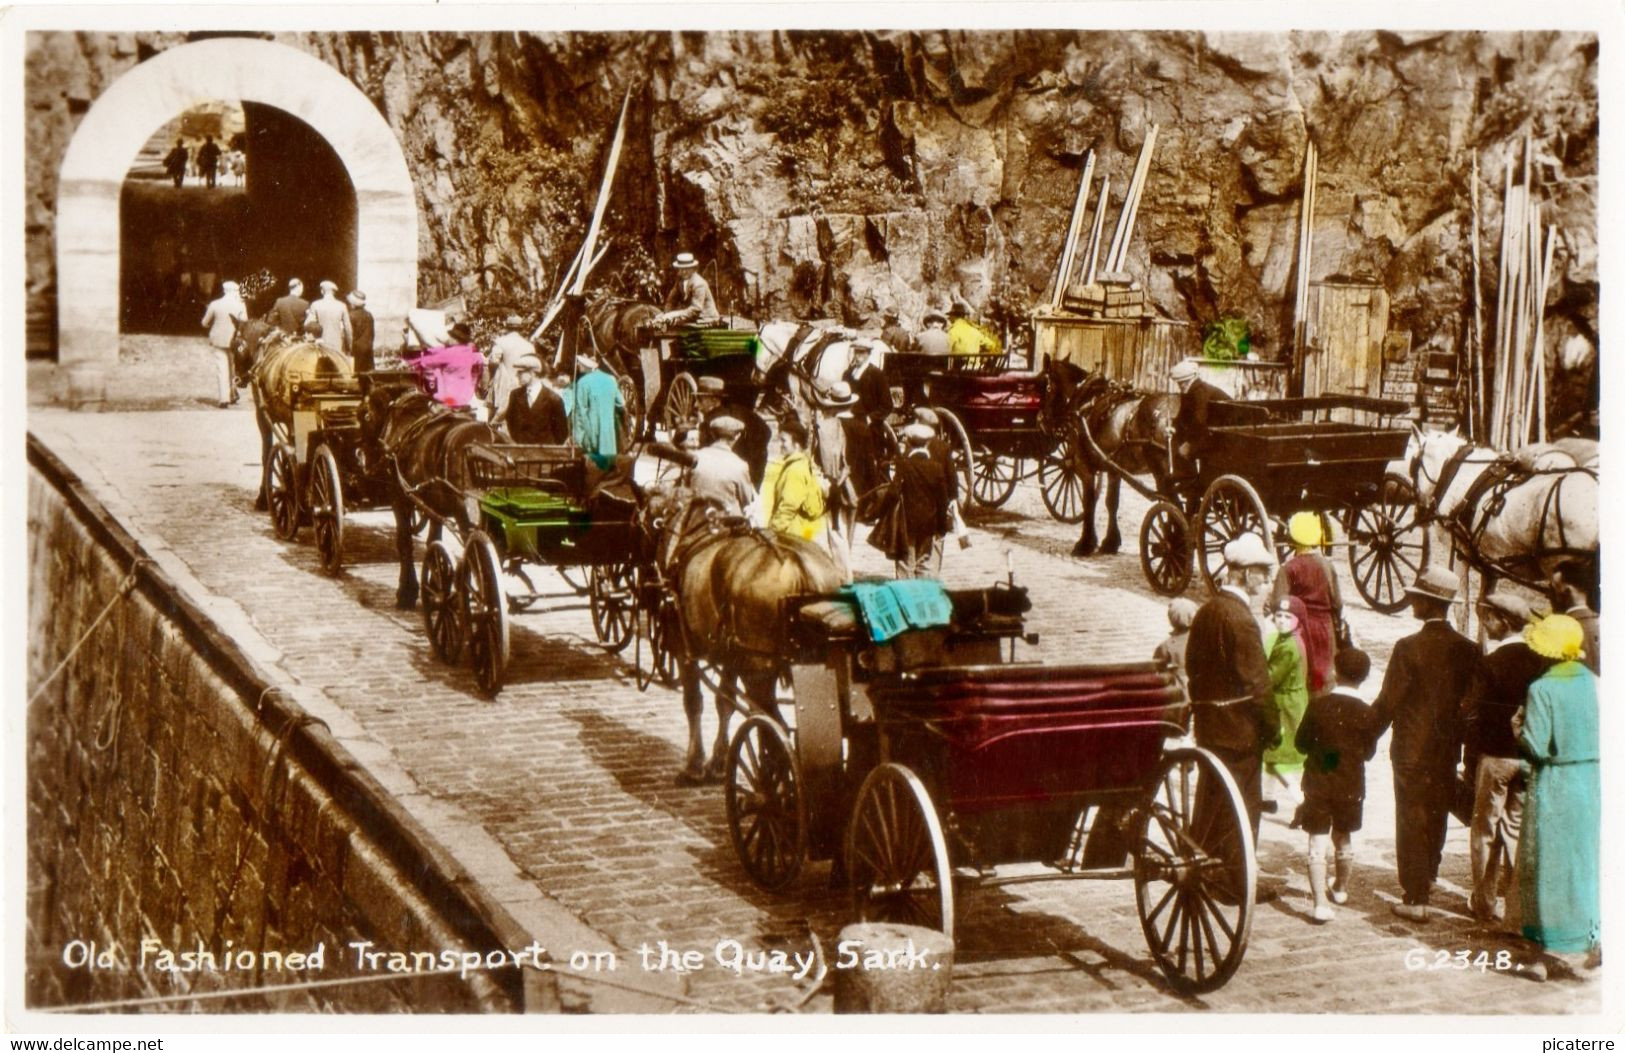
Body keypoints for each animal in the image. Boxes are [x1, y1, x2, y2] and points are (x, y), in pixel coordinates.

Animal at [643, 484, 845, 780]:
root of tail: (797, 564)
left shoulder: (684, 648)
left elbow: (693, 702)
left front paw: (695, 764)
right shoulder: (730, 655)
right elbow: (724, 703)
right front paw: (718, 761)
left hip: (758, 670)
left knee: (774, 726)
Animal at [1040, 357, 1183, 559]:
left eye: (1046, 387)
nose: (1041, 420)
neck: (1086, 402)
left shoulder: (1085, 467)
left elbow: (1089, 502)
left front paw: (1085, 543)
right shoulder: (1114, 470)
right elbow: (1111, 503)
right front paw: (1110, 542)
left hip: (1163, 476)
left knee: (1177, 509)